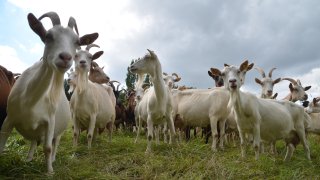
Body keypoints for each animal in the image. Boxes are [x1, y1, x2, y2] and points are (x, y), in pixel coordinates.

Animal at [0, 11, 99, 173]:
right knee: (34, 142)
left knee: (54, 143)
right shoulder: (9, 119)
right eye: (48, 36)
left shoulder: (50, 121)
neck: (30, 100)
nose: (65, 57)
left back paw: (52, 159)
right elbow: (1, 145)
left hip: (59, 130)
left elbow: (47, 148)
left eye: (77, 42)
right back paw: (28, 159)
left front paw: (50, 171)